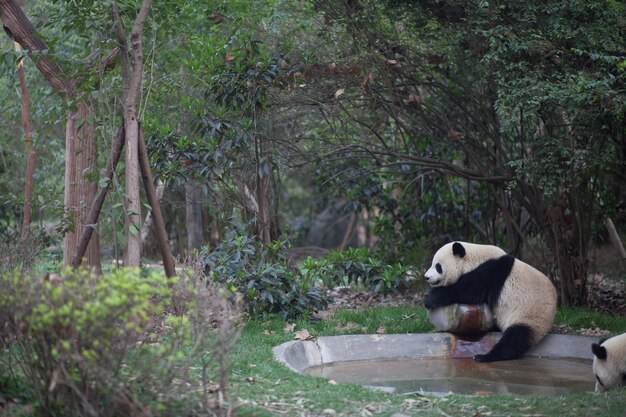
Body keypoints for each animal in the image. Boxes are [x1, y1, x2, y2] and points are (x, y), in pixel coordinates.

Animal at [424, 240, 556, 360]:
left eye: (438, 266)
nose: (426, 277)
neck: (474, 259)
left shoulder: (491, 272)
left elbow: (468, 290)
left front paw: (430, 299)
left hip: (530, 314)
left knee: (515, 338)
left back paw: (485, 356)